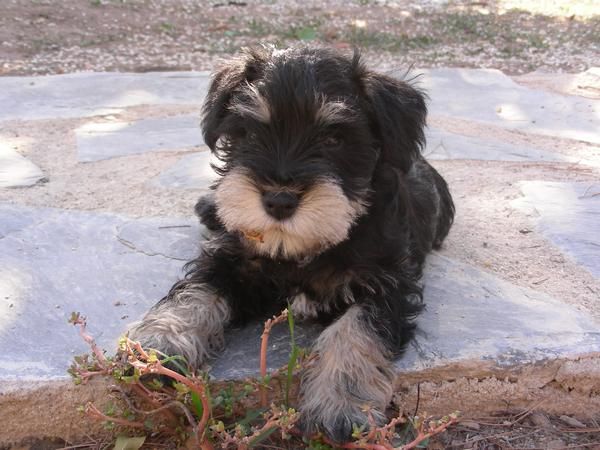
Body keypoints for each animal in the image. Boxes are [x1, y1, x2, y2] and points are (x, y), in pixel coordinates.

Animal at [129, 46, 452, 442]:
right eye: (252, 133)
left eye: (334, 139)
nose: (279, 201)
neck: (300, 250)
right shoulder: (230, 260)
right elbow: (196, 293)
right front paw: (159, 343)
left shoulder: (387, 285)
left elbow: (354, 332)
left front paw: (340, 404)